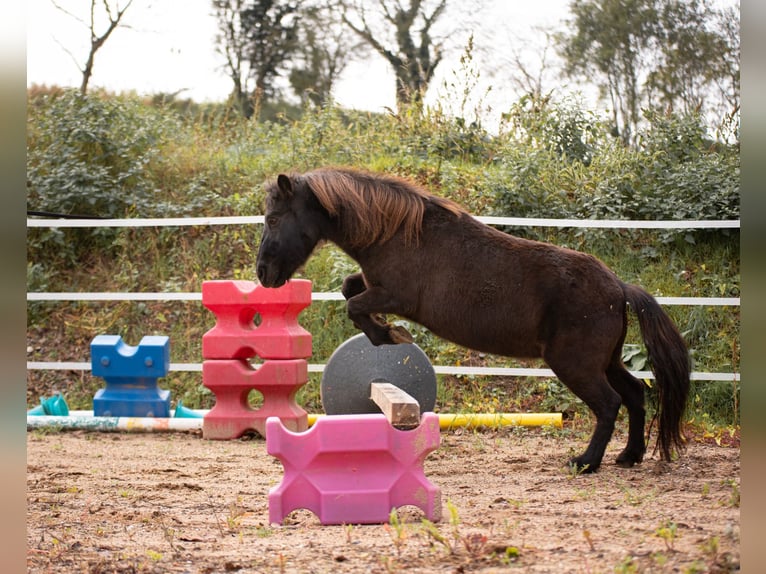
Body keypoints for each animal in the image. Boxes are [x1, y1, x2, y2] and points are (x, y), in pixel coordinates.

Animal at [256, 166, 688, 472]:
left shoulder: (396, 295)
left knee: (610, 403)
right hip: (605, 361)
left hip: (576, 365)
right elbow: (350, 290)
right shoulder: (375, 287)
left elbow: (354, 305)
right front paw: (390, 332)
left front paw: (391, 335)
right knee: (635, 393)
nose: (263, 274)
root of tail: (619, 287)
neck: (397, 233)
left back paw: (586, 463)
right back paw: (628, 456)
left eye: (273, 219)